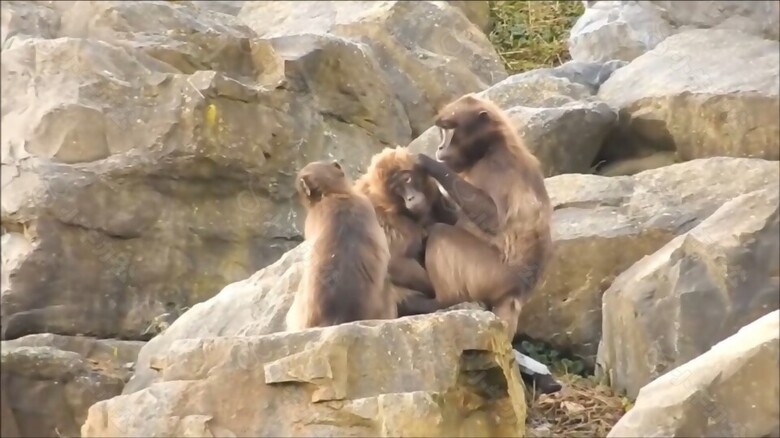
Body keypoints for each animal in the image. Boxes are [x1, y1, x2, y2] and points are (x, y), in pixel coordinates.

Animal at [414, 94, 556, 342]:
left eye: (449, 130)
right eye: (442, 131)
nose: (439, 147)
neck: (489, 147)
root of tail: (517, 290)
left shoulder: (498, 164)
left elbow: (493, 219)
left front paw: (426, 162)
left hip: (489, 274)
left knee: (440, 233)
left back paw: (441, 301)